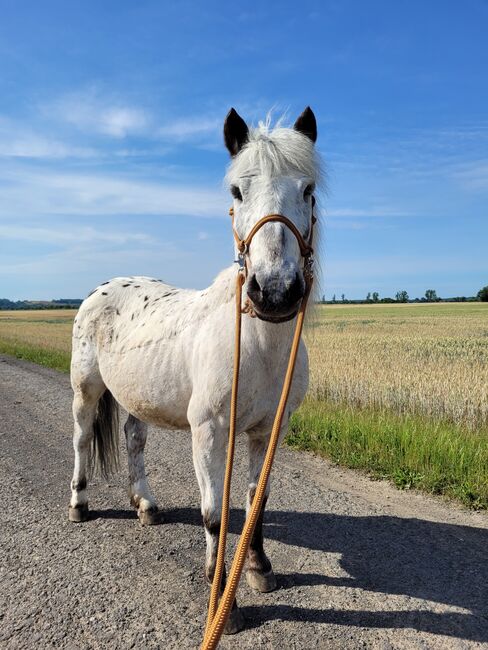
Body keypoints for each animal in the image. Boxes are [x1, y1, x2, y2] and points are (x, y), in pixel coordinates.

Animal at [67, 107, 320, 632]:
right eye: (237, 191)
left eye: (308, 189)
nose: (275, 292)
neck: (258, 346)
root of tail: (102, 287)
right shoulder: (209, 432)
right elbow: (214, 515)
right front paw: (224, 597)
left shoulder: (269, 430)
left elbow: (256, 503)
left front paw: (259, 570)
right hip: (86, 389)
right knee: (81, 439)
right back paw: (79, 505)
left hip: (136, 395)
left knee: (134, 439)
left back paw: (145, 505)